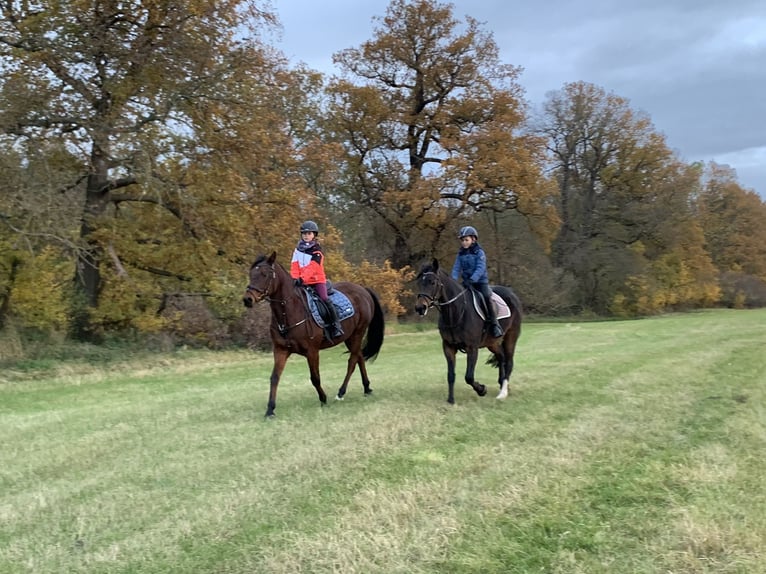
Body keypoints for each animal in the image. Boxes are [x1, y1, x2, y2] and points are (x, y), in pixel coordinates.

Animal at [243, 252, 388, 418]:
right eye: (251, 274)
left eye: (265, 274)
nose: (247, 299)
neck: (288, 313)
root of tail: (362, 289)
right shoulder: (280, 350)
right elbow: (274, 378)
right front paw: (270, 410)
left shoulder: (312, 351)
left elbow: (315, 378)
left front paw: (323, 399)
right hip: (350, 337)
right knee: (359, 358)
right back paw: (367, 388)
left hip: (358, 333)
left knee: (352, 361)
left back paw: (341, 392)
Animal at [416, 260, 524, 404]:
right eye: (419, 283)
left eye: (432, 282)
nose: (420, 308)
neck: (456, 312)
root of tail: (512, 294)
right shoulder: (448, 347)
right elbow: (451, 375)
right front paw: (451, 400)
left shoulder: (472, 348)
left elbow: (469, 376)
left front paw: (482, 390)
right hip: (492, 343)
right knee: (501, 358)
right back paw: (502, 385)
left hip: (511, 337)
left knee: (509, 362)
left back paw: (503, 393)